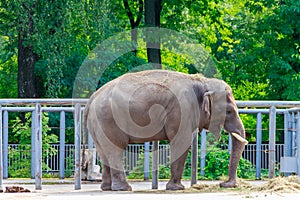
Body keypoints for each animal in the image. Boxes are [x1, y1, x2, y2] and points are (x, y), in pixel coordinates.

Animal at [82, 69, 246, 191]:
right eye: (229, 111)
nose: (223, 183)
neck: (202, 82)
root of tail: (92, 98)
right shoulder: (182, 110)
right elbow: (181, 142)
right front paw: (177, 188)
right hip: (109, 120)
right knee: (115, 149)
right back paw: (124, 188)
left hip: (98, 124)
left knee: (104, 152)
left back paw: (107, 188)